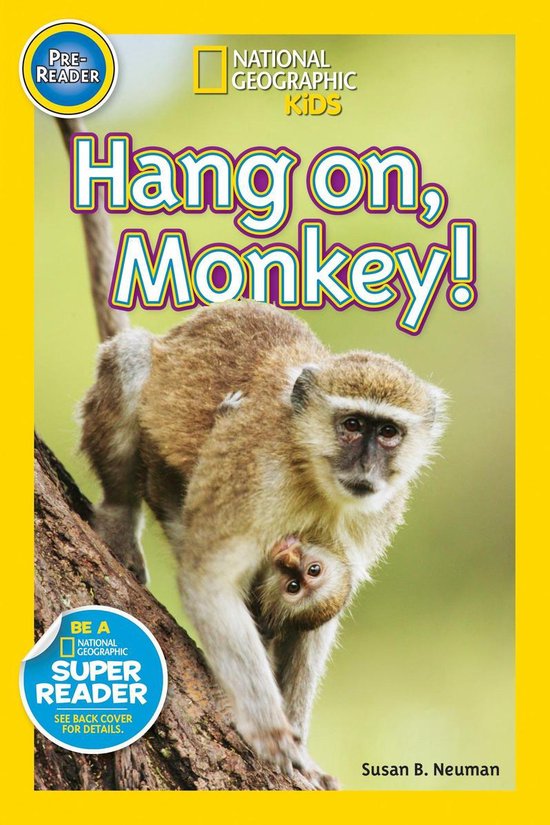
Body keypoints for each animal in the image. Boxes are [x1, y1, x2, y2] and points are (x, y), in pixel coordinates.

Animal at [59, 118, 447, 790]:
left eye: (389, 434)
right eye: (353, 425)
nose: (366, 467)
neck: (315, 477)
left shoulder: (375, 516)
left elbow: (322, 618)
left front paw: (302, 744)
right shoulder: (253, 472)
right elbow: (210, 576)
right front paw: (269, 728)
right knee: (131, 362)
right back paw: (118, 514)